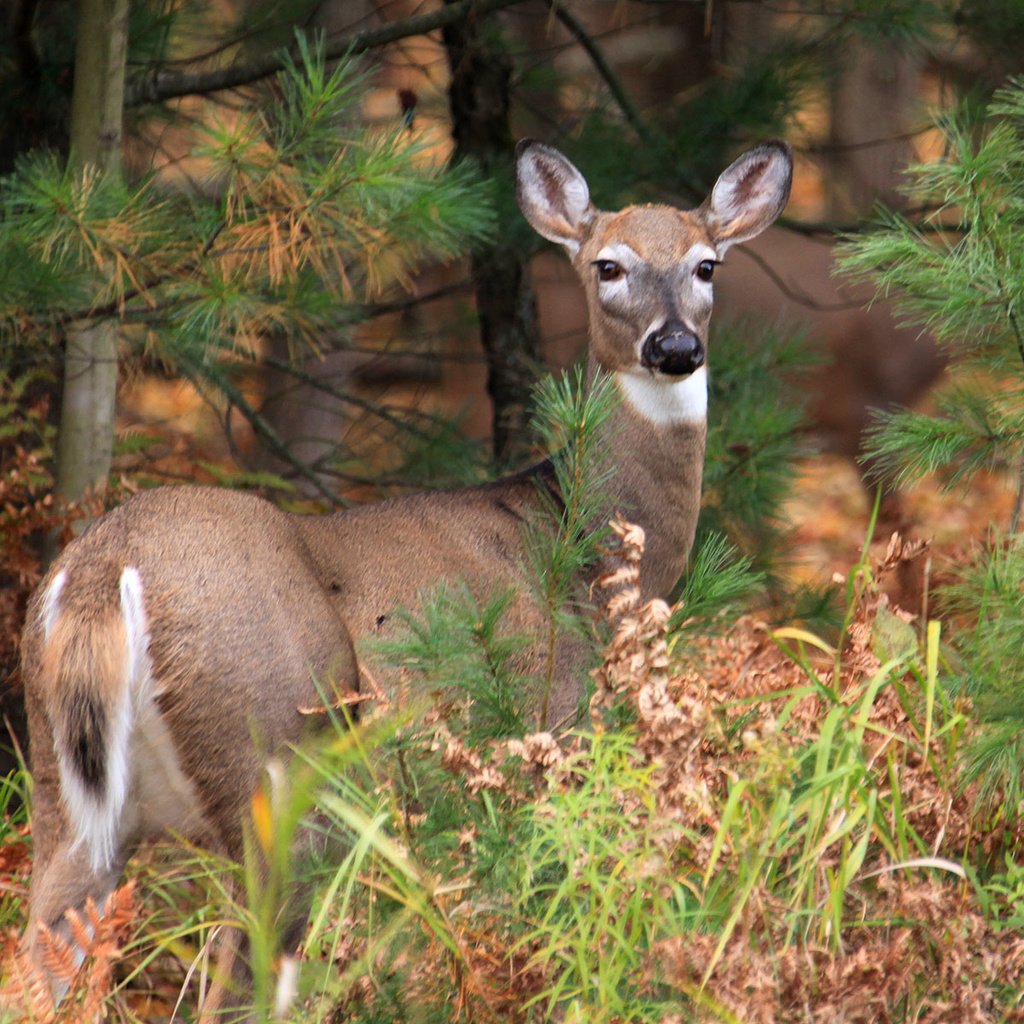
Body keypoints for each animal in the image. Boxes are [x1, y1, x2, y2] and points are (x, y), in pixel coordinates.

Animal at [16, 134, 790, 999]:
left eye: (706, 265)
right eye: (608, 266)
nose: (674, 347)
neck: (585, 543)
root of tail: (101, 572)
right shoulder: (549, 724)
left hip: (63, 793)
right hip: (274, 757)